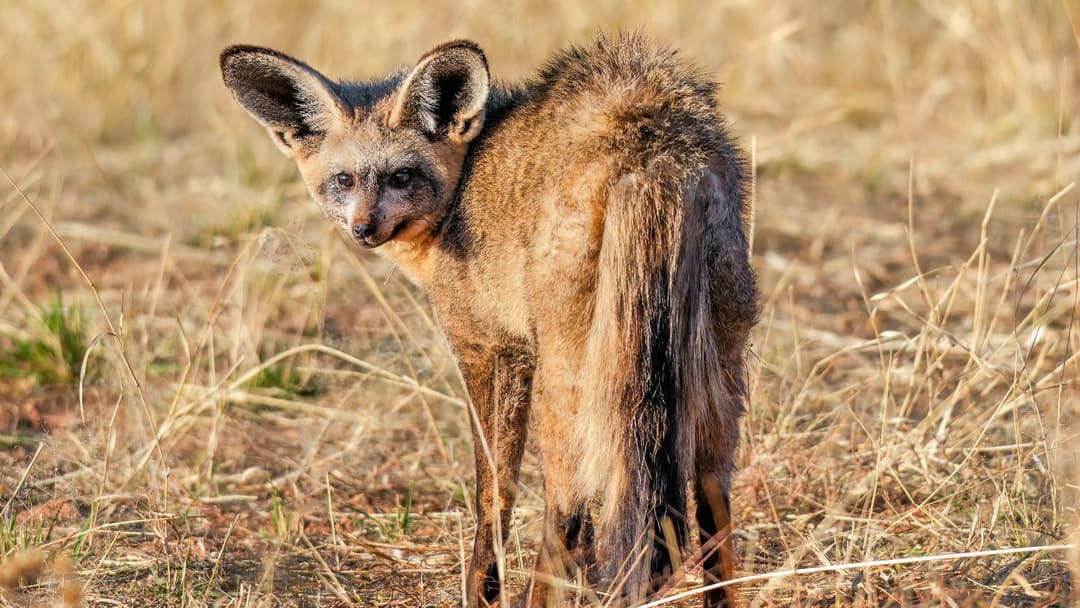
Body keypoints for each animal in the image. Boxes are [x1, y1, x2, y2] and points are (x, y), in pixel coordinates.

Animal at [220, 33, 757, 607]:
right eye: (343, 180)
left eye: (401, 176)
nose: (363, 230)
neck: (462, 191)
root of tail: (653, 142)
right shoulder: (518, 355)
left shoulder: (488, 350)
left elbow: (492, 492)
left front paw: (482, 589)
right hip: (713, 379)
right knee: (711, 506)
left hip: (572, 384)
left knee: (568, 511)